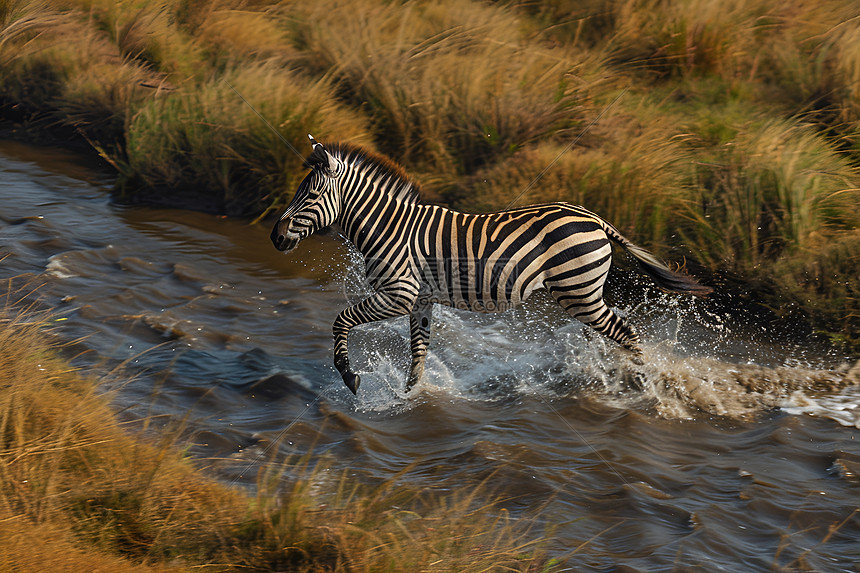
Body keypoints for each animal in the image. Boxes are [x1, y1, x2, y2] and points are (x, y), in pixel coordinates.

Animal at [270, 135, 712, 394]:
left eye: (310, 196)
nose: (275, 236)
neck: (390, 227)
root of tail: (596, 219)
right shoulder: (421, 301)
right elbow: (419, 354)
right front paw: (410, 398)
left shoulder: (398, 293)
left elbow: (340, 320)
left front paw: (350, 376)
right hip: (584, 294)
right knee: (613, 333)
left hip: (578, 291)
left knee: (627, 333)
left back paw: (642, 385)